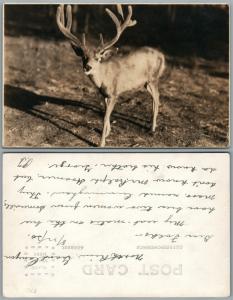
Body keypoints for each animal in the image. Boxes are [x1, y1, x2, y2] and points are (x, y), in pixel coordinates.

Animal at [56, 3, 166, 146]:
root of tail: (162, 56)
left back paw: (152, 128)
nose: (88, 67)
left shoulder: (115, 94)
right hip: (146, 82)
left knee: (157, 97)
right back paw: (151, 124)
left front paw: (101, 143)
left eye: (98, 58)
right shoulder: (104, 95)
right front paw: (108, 132)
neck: (104, 79)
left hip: (153, 78)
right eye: (84, 57)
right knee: (154, 97)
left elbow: (104, 117)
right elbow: (105, 114)